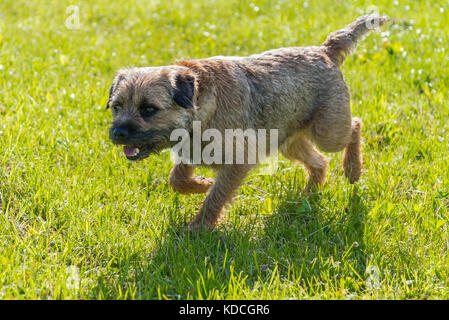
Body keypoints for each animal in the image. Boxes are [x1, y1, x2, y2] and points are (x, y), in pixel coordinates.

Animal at [107, 13, 386, 231]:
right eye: (117, 106)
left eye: (149, 109)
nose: (118, 132)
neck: (203, 107)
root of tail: (325, 50)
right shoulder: (190, 151)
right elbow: (177, 179)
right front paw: (202, 184)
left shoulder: (238, 161)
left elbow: (216, 197)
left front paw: (198, 228)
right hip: (287, 140)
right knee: (320, 162)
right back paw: (308, 196)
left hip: (328, 131)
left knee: (354, 126)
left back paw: (352, 169)